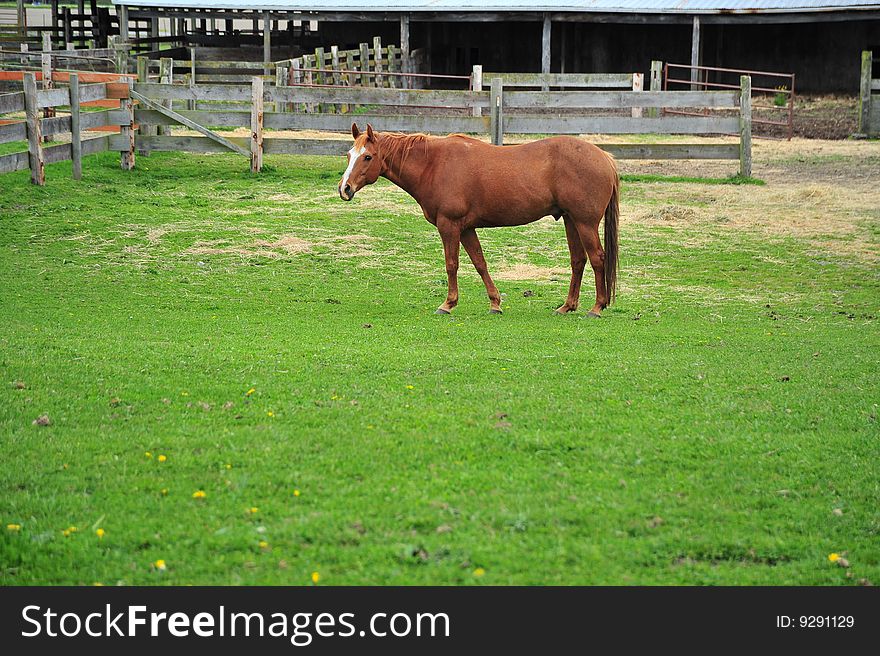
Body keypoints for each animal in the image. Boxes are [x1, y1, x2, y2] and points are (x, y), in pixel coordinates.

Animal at [336, 124, 620, 320]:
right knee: (578, 261)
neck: (433, 164)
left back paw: (597, 307)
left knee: (597, 258)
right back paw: (567, 306)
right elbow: (480, 263)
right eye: (349, 155)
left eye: (368, 157)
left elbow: (452, 265)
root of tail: (604, 158)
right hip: (571, 221)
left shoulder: (449, 225)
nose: (344, 189)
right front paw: (495, 303)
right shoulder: (467, 229)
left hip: (585, 223)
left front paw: (448, 304)